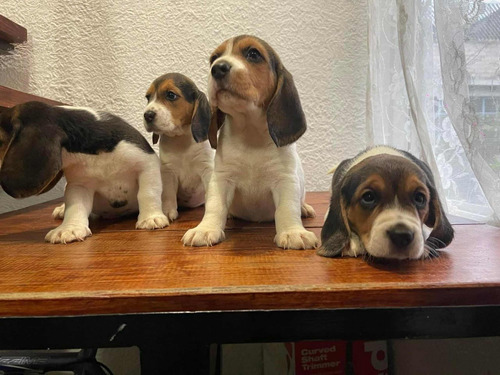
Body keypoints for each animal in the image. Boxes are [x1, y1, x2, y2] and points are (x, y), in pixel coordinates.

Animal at [0, 101, 168, 245]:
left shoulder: (146, 165)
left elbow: (147, 194)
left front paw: (151, 218)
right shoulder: (79, 185)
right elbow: (75, 205)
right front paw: (69, 228)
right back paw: (62, 210)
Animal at [145, 72, 215, 223]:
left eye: (171, 95)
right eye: (148, 97)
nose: (147, 115)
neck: (181, 138)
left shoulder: (206, 168)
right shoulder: (168, 172)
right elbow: (168, 194)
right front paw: (168, 211)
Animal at [183, 34, 316, 250]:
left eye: (253, 54)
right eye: (214, 58)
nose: (217, 68)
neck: (250, 131)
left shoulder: (285, 180)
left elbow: (287, 208)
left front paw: (293, 232)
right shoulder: (222, 178)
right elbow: (215, 206)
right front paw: (205, 229)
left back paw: (304, 208)